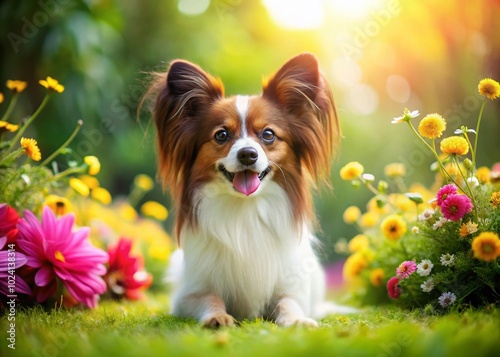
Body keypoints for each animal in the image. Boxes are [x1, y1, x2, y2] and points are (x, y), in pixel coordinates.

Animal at [145, 52, 340, 326]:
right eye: (221, 135)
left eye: (268, 134)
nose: (248, 154)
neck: (245, 209)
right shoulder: (189, 294)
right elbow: (210, 298)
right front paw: (217, 317)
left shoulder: (292, 289)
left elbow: (288, 304)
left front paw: (297, 321)